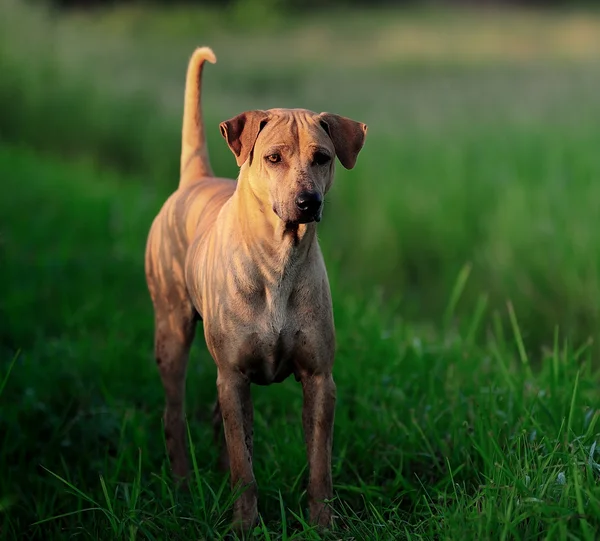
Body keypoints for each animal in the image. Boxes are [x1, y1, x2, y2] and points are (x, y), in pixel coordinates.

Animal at [145, 47, 368, 532]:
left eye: (323, 157)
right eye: (273, 158)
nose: (308, 201)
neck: (279, 261)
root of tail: (194, 179)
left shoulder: (319, 379)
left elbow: (319, 465)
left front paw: (323, 525)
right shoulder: (232, 375)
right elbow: (245, 471)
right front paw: (244, 525)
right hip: (171, 330)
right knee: (174, 413)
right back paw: (182, 484)